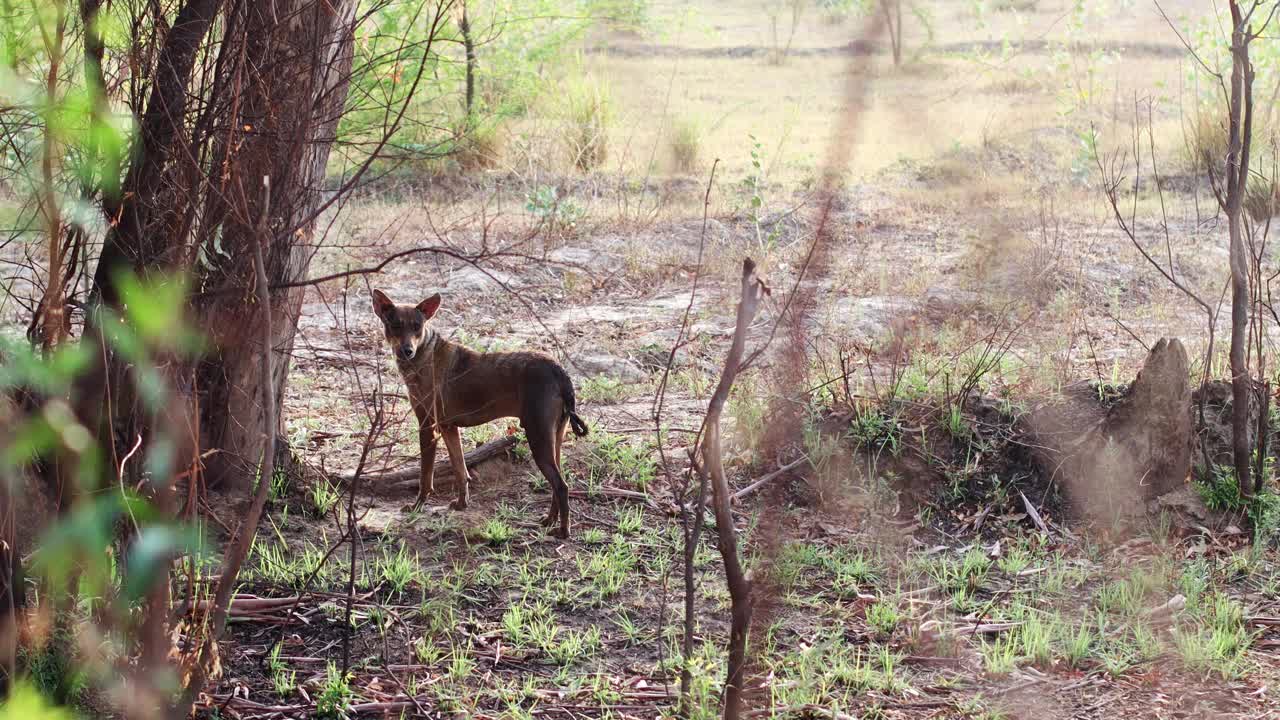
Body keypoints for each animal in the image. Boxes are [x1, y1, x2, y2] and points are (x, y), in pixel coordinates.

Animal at [373, 288, 586, 535]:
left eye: (417, 326)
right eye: (395, 325)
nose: (406, 351)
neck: (425, 356)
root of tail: (560, 371)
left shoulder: (427, 426)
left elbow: (426, 476)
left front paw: (418, 505)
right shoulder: (448, 427)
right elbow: (460, 469)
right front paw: (461, 504)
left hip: (538, 437)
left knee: (561, 486)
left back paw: (563, 531)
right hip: (554, 437)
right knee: (558, 483)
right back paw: (549, 520)